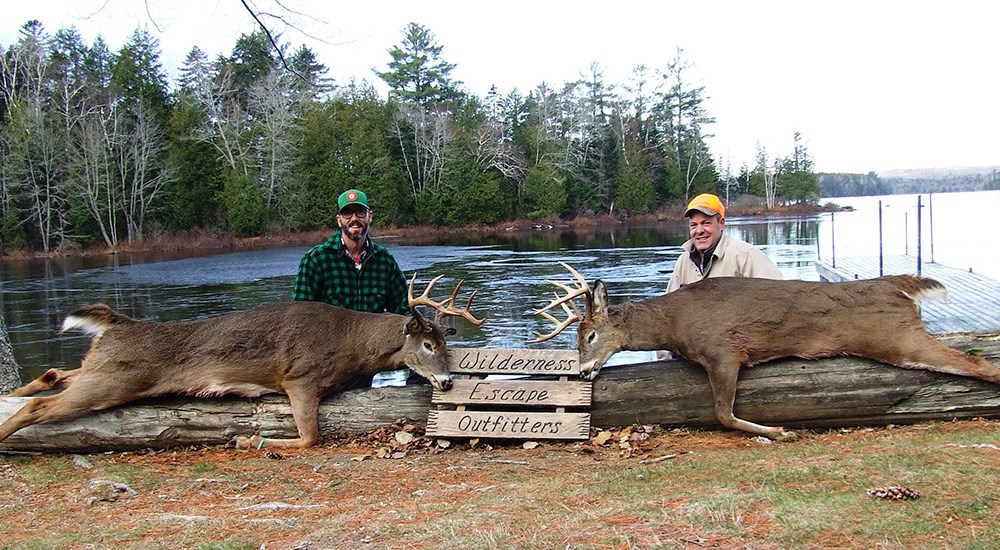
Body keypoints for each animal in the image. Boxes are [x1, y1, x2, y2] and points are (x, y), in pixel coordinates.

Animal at [0, 276, 484, 452]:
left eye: (448, 342)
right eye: (427, 343)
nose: (446, 381)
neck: (350, 343)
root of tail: (118, 322)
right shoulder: (300, 377)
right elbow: (309, 437)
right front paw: (249, 440)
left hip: (99, 368)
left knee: (55, 373)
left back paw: (15, 390)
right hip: (113, 380)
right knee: (42, 405)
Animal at [532, 264, 1000, 444]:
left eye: (590, 336)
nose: (582, 371)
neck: (674, 324)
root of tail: (899, 285)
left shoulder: (724, 350)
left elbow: (722, 414)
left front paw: (780, 431)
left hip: (898, 338)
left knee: (978, 363)